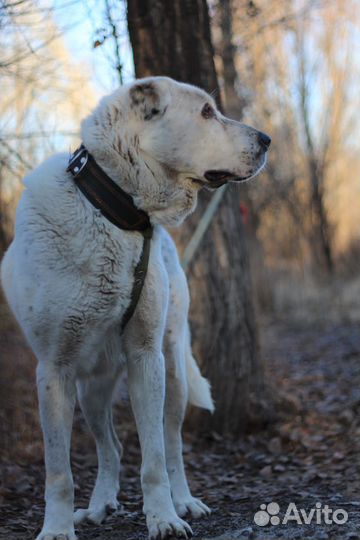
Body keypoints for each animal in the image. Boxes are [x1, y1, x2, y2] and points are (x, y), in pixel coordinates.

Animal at [0, 77, 270, 540]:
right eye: (206, 112)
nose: (267, 140)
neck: (114, 210)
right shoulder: (54, 370)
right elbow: (59, 470)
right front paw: (56, 528)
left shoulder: (146, 357)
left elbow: (155, 459)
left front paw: (164, 518)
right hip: (90, 391)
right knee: (111, 445)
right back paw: (98, 505)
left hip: (172, 368)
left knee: (172, 442)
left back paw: (184, 501)